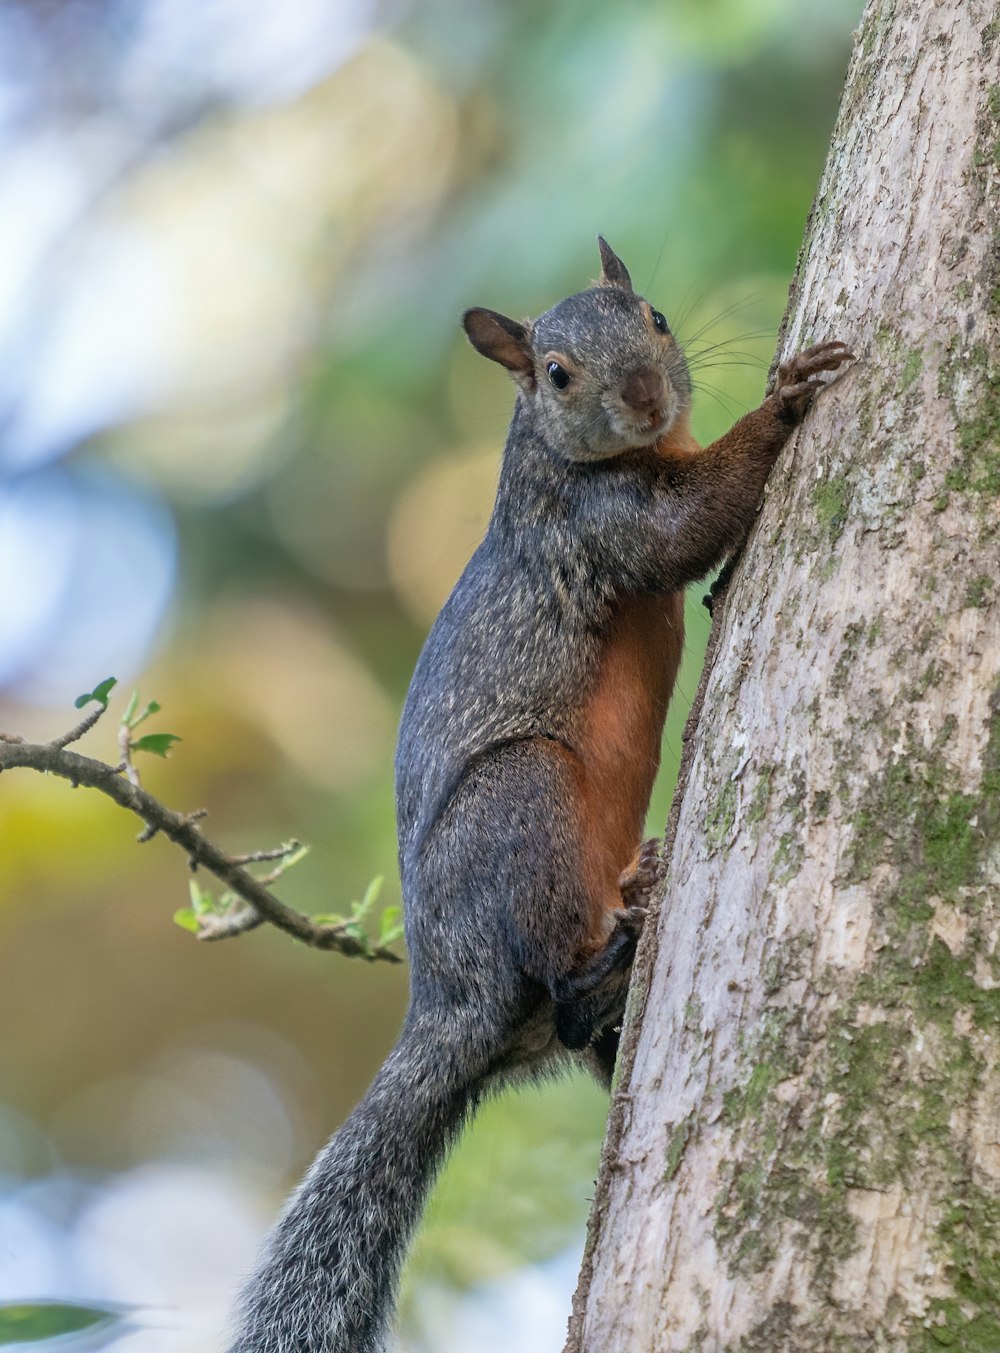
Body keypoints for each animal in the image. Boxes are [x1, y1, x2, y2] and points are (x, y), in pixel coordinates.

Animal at [228, 238, 855, 1347]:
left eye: (653, 317)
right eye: (555, 373)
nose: (643, 392)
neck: (556, 454)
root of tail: (448, 997)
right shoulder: (590, 524)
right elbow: (683, 528)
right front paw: (784, 400)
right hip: (520, 803)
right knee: (559, 976)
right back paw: (622, 932)